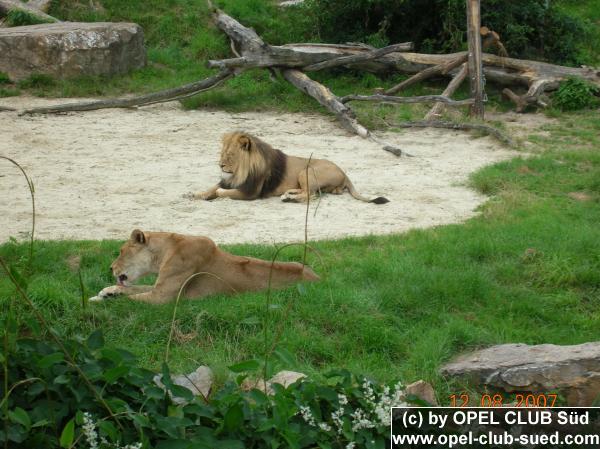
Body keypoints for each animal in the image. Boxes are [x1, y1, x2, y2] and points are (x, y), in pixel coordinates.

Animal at [89, 228, 318, 304]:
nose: (110, 268)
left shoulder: (163, 297)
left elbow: (126, 302)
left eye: (121, 251)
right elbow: (131, 289)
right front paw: (106, 291)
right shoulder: (158, 288)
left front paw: (97, 301)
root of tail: (318, 279)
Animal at [190, 130, 392, 204]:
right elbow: (213, 187)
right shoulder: (229, 180)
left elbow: (223, 192)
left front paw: (215, 195)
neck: (240, 172)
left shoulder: (249, 192)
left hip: (306, 170)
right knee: (311, 192)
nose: (221, 165)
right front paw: (196, 194)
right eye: (221, 153)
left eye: (230, 155)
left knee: (311, 195)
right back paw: (289, 194)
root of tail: (344, 172)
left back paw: (289, 198)